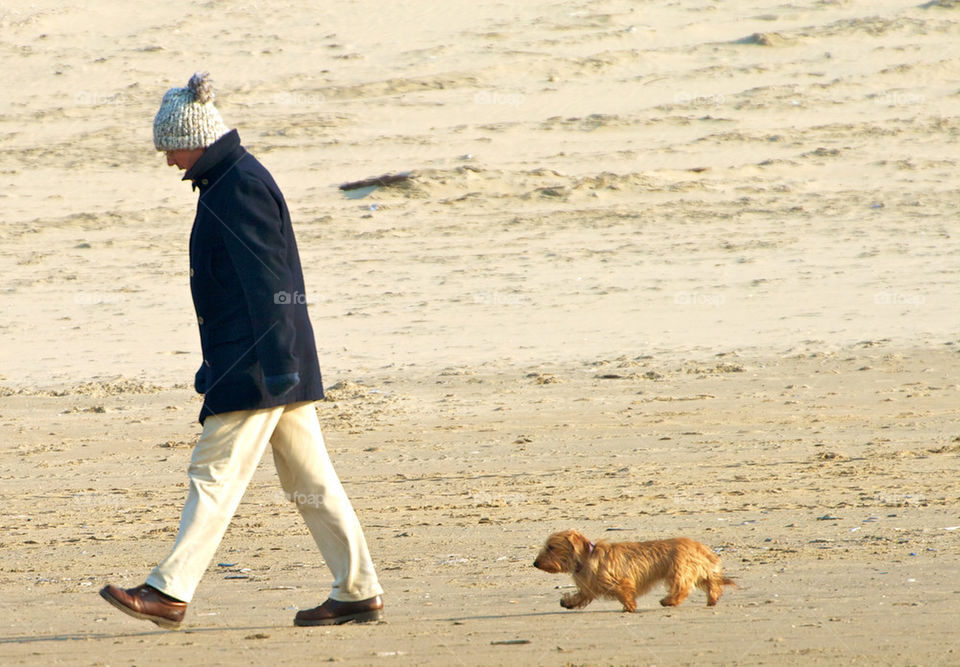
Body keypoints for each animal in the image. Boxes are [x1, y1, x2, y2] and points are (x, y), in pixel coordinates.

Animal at [532, 528, 736, 612]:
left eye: (551, 547)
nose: (535, 563)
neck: (587, 556)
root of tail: (698, 546)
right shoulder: (589, 587)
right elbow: (581, 596)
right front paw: (568, 603)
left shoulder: (619, 581)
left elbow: (625, 593)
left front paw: (629, 607)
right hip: (697, 572)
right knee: (712, 585)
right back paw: (712, 599)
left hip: (679, 572)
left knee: (682, 588)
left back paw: (669, 601)